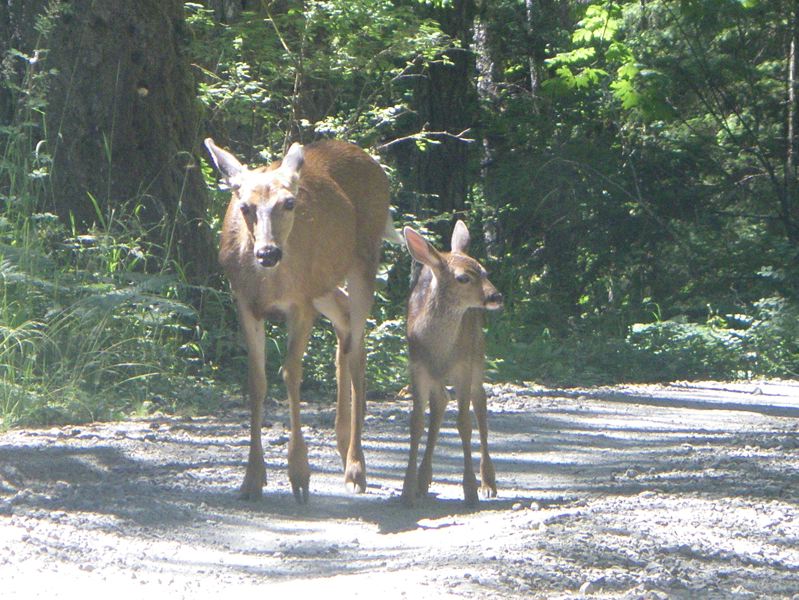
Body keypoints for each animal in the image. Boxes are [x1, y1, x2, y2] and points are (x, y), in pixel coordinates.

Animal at [204, 137, 399, 504]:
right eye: (245, 206)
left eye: (289, 202)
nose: (268, 253)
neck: (270, 282)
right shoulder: (245, 303)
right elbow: (257, 380)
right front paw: (252, 479)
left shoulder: (301, 303)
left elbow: (291, 373)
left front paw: (299, 475)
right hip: (325, 284)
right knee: (346, 325)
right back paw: (343, 445)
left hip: (363, 260)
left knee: (356, 348)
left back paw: (356, 467)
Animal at [400, 220, 503, 507]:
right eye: (463, 278)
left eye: (484, 271)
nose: (496, 296)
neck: (439, 349)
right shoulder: (417, 367)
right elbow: (416, 424)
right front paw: (407, 490)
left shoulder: (463, 366)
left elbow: (464, 423)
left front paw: (470, 490)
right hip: (437, 375)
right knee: (440, 403)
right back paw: (423, 480)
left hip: (477, 353)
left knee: (480, 402)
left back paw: (488, 483)